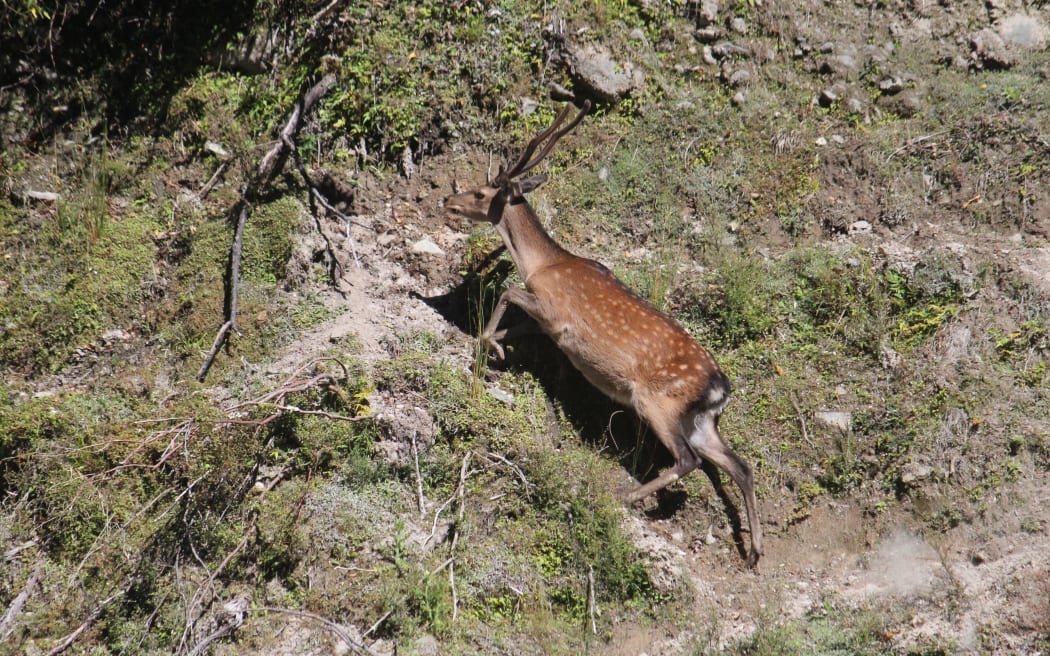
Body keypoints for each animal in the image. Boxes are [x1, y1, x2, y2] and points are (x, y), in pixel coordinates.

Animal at [443, 101, 762, 568]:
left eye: (482, 194)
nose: (448, 199)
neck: (543, 264)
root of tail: (721, 388)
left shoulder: (556, 311)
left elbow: (507, 293)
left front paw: (488, 348)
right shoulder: (549, 325)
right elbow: (517, 322)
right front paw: (498, 345)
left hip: (659, 402)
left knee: (687, 461)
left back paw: (626, 497)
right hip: (702, 421)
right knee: (740, 465)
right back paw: (755, 550)